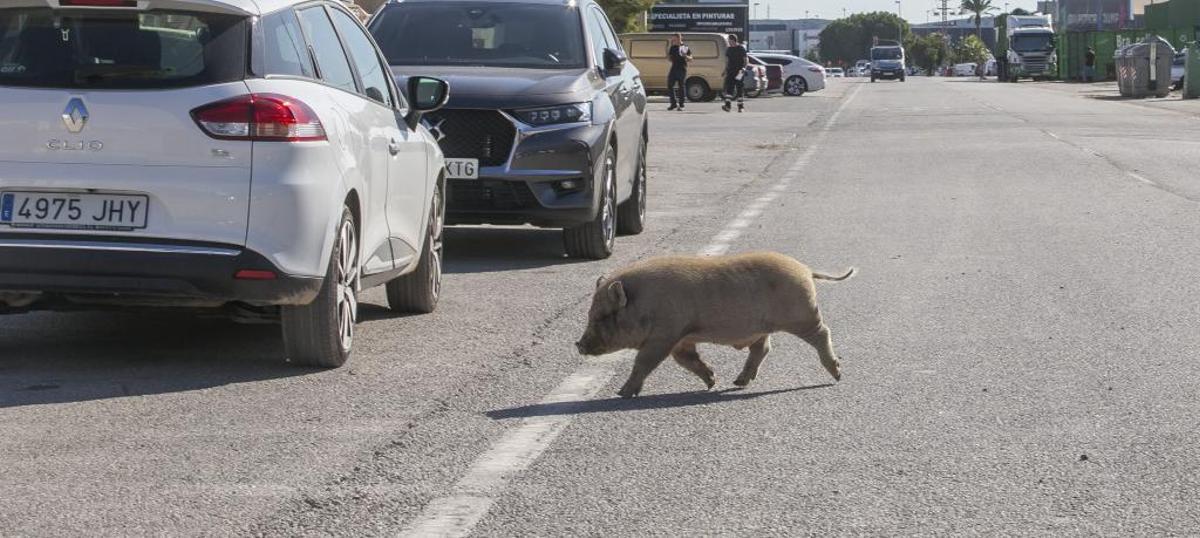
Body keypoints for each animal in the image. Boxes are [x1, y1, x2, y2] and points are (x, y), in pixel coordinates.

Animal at [575, 252, 855, 398]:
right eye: (590, 313)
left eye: (602, 316)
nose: (578, 344)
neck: (645, 304)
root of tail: (805, 269)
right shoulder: (681, 339)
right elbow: (688, 361)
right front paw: (712, 381)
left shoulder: (664, 335)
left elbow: (643, 362)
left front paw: (621, 393)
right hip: (764, 327)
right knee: (762, 349)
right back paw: (737, 382)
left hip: (803, 316)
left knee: (823, 333)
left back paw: (837, 375)